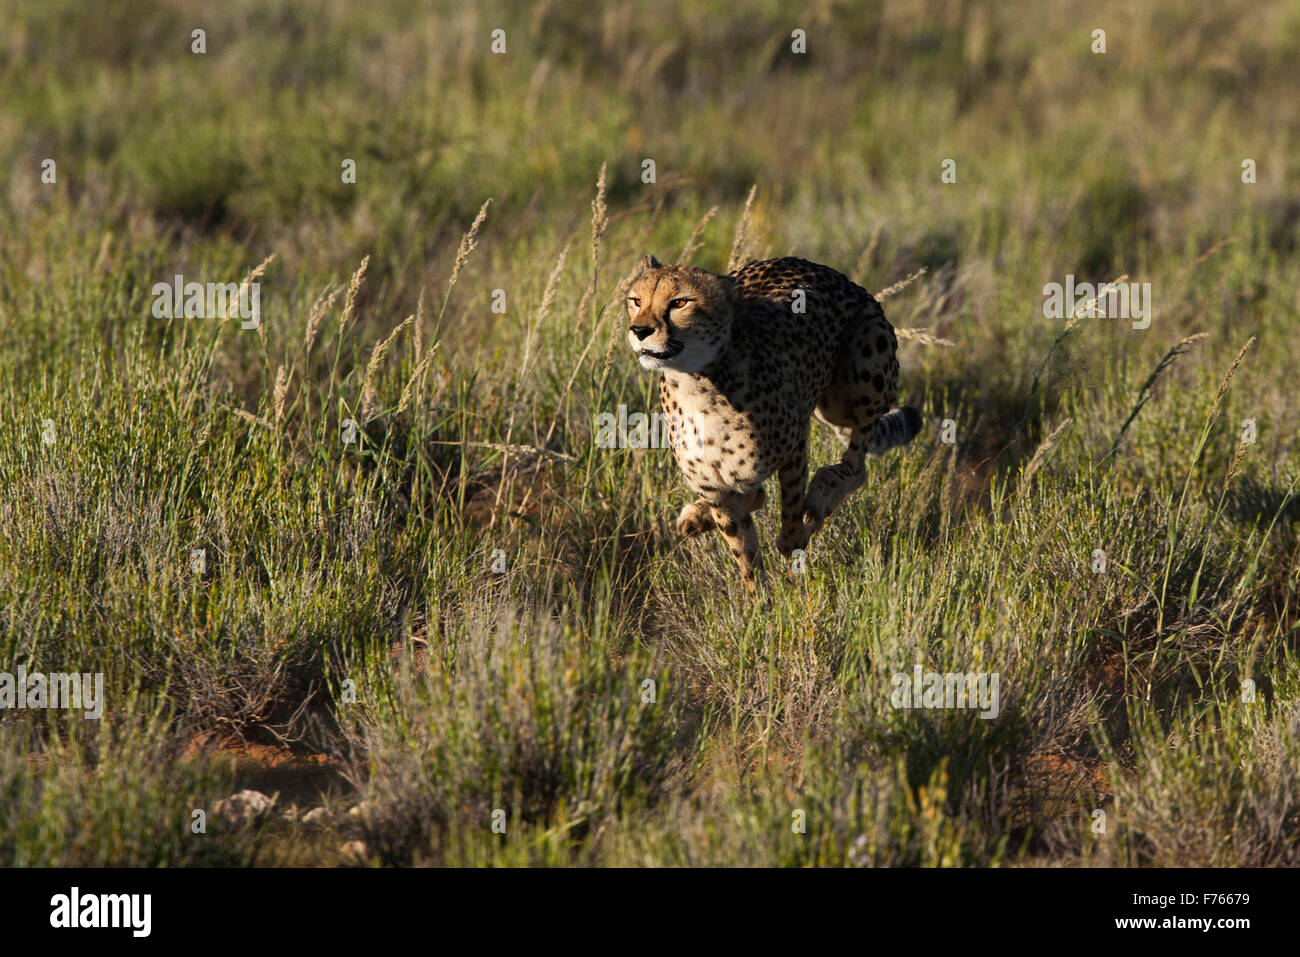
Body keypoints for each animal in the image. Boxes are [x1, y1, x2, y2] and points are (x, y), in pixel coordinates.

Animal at [626, 254, 922, 593]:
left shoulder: (795, 446)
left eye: (679, 302)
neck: (696, 383)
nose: (640, 330)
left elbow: (791, 518)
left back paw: (824, 493)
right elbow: (745, 556)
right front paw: (760, 603)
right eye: (637, 301)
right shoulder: (717, 490)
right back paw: (696, 517)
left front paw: (793, 572)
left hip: (857, 375)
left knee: (857, 464)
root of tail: (828, 270)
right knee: (757, 494)